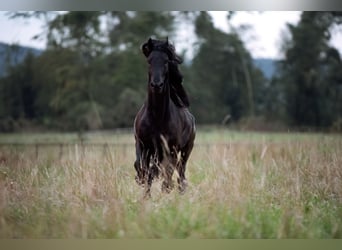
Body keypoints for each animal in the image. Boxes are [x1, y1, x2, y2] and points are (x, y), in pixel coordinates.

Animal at [134, 37, 196, 197]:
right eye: (149, 61)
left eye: (166, 61)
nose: (157, 85)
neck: (156, 118)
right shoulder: (142, 144)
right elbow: (141, 167)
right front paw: (145, 192)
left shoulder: (170, 149)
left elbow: (162, 172)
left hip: (186, 150)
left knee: (180, 172)